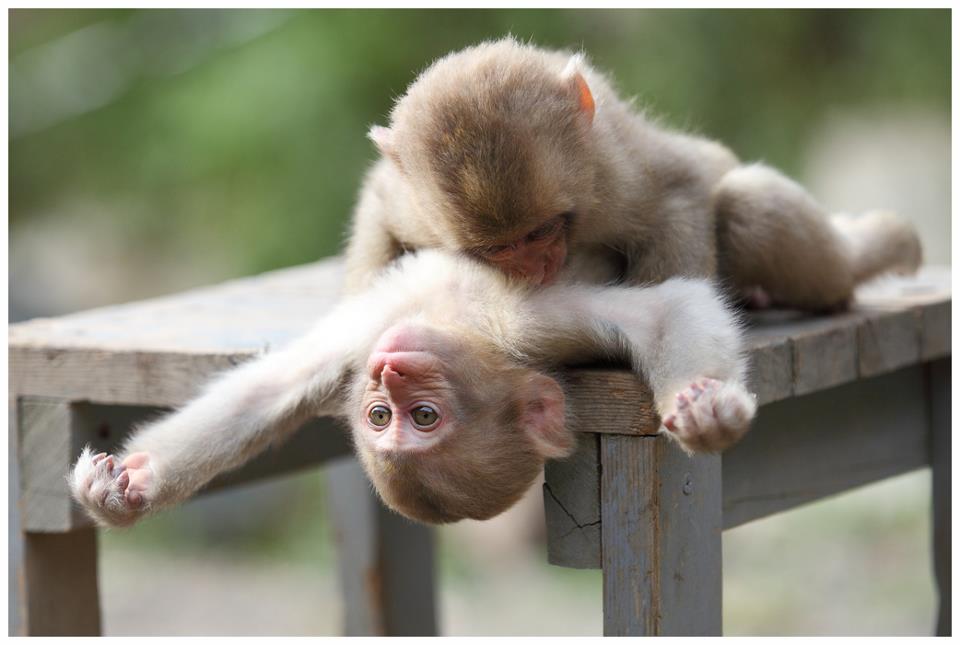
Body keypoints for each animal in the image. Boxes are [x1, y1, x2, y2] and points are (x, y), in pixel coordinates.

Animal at [69, 249, 756, 528]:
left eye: (422, 417)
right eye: (380, 416)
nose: (390, 371)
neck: (456, 323)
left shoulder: (524, 327)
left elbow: (670, 309)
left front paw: (708, 413)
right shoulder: (360, 350)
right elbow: (263, 392)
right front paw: (125, 492)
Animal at [346, 37, 922, 309]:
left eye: (540, 232)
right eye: (498, 249)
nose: (535, 268)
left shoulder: (612, 178)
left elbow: (682, 190)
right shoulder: (415, 206)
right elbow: (378, 204)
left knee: (747, 205)